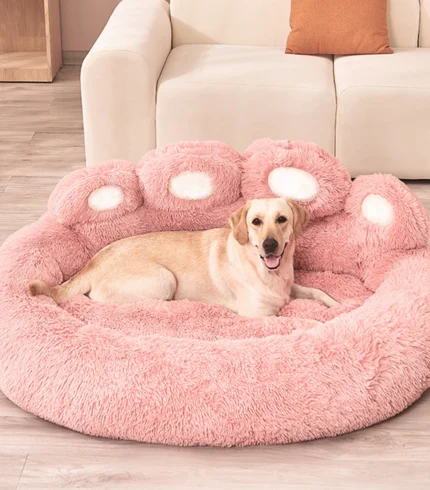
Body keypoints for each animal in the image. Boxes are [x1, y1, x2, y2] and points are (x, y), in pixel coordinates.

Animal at [29, 198, 338, 317]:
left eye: (282, 219)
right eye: (256, 222)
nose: (270, 245)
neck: (269, 272)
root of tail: (92, 263)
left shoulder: (290, 287)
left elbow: (317, 291)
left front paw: (337, 305)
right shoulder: (259, 315)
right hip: (163, 280)